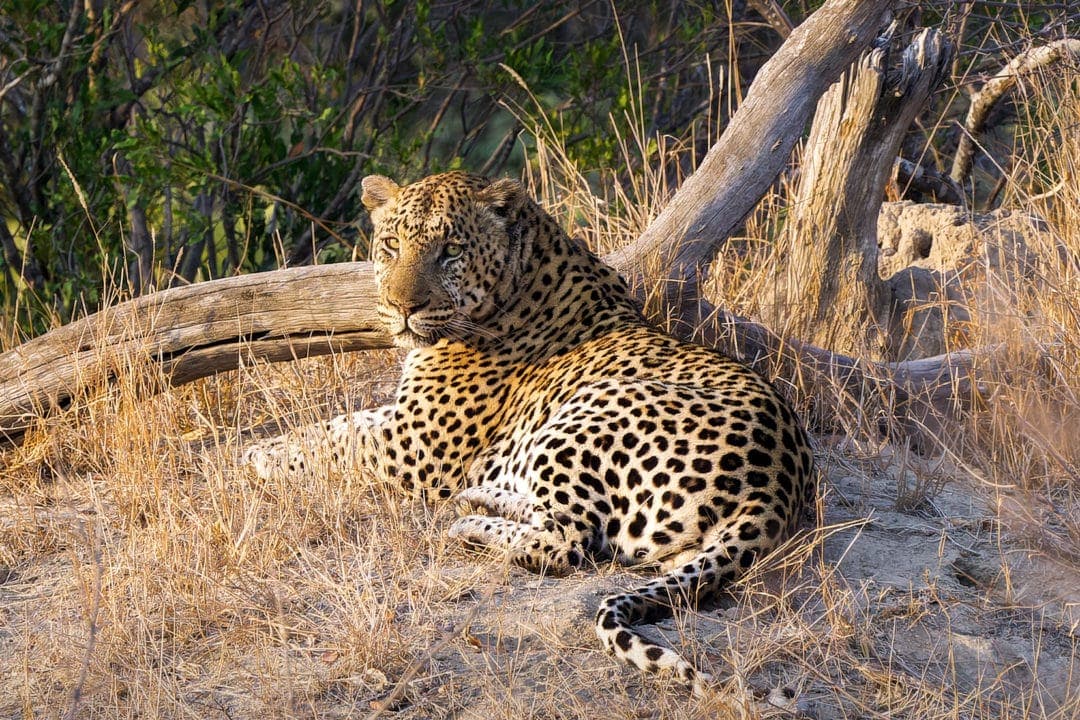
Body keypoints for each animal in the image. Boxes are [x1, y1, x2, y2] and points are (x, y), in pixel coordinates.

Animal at [245, 171, 812, 695]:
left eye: (450, 252)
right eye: (392, 246)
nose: (403, 307)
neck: (526, 269)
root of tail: (776, 488)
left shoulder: (417, 442)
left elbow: (333, 445)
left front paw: (252, 458)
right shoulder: (405, 419)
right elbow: (338, 425)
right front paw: (262, 447)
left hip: (588, 412)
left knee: (567, 542)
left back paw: (469, 524)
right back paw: (483, 496)